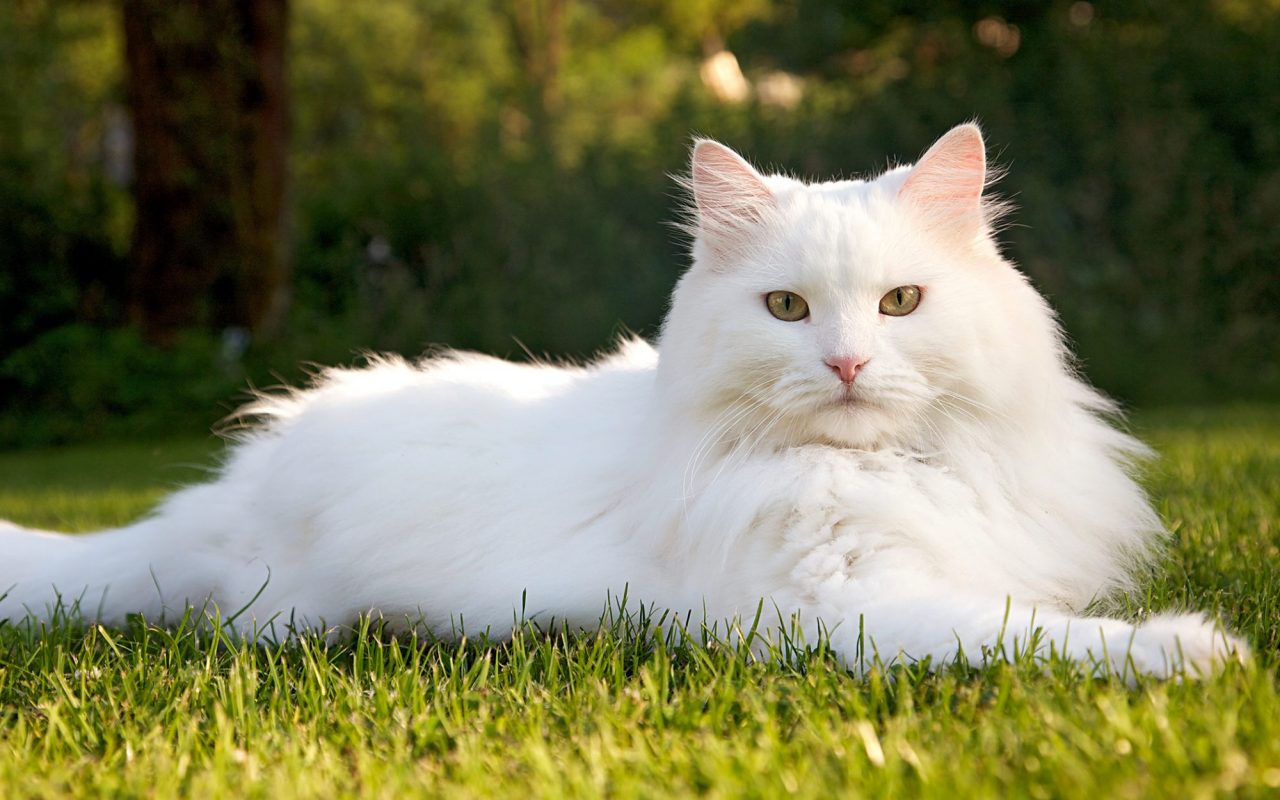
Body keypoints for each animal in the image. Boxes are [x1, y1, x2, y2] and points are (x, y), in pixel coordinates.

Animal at [0, 123, 1244, 675]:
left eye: (899, 302)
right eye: (787, 308)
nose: (844, 365)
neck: (880, 468)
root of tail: (224, 488)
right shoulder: (844, 606)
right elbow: (1035, 636)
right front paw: (1194, 649)